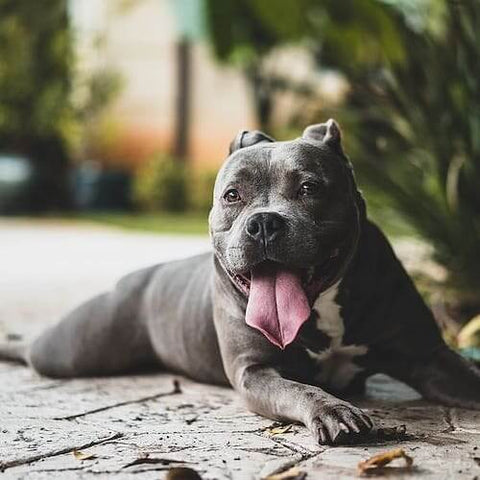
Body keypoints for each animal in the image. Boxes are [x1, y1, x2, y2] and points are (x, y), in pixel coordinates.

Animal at [0, 122, 480, 444]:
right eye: (233, 196)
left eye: (309, 188)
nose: (264, 222)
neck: (322, 306)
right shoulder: (255, 371)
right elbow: (299, 387)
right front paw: (333, 409)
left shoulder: (428, 357)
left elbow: (464, 375)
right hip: (73, 348)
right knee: (36, 349)